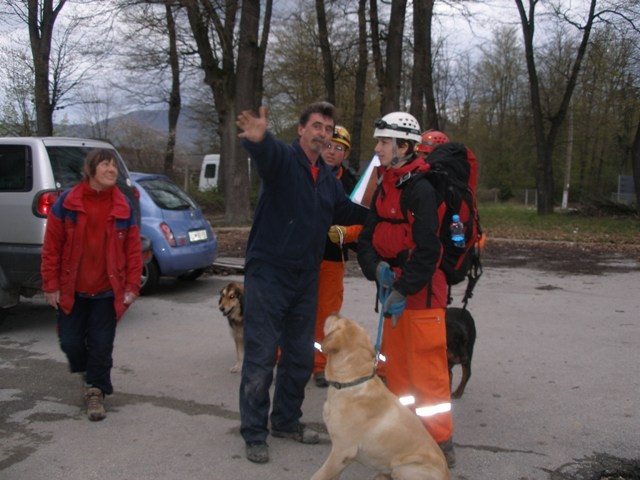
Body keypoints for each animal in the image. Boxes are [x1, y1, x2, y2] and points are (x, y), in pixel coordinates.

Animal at [312, 316, 450, 480]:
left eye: (339, 320)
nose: (334, 313)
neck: (351, 381)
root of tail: (447, 476)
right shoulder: (342, 458)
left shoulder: (342, 451)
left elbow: (318, 475)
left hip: (404, 468)